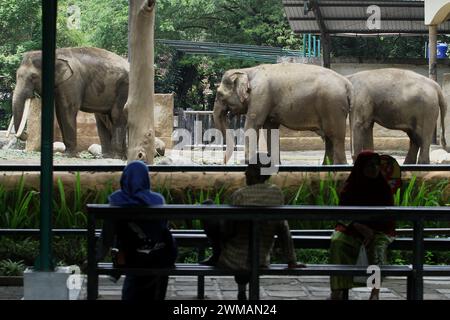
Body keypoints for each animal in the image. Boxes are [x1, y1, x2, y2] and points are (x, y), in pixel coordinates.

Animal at [213, 62, 354, 164]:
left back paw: (340, 167)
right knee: (329, 138)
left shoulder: (260, 95)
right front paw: (274, 165)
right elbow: (271, 129)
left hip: (333, 105)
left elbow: (253, 125)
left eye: (220, 95)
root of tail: (347, 84)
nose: (223, 163)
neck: (247, 70)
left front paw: (248, 163)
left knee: (335, 136)